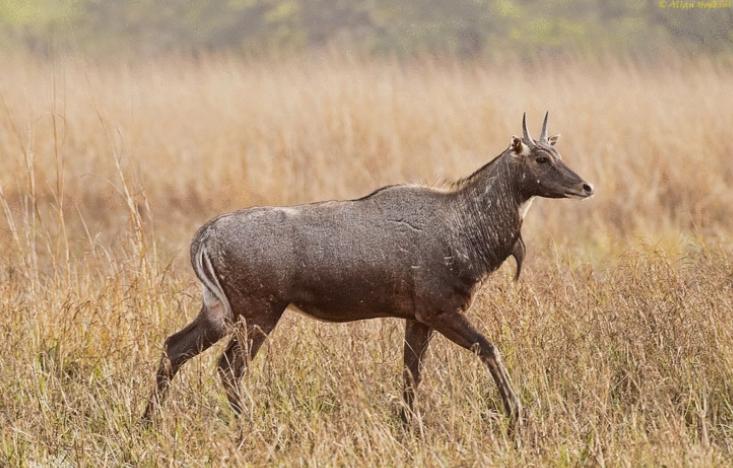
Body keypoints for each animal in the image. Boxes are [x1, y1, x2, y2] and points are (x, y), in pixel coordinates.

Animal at [140, 113, 592, 428]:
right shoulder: (441, 309)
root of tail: (203, 238)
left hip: (220, 311)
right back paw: (251, 427)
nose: (585, 186)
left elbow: (411, 374)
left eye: (558, 153)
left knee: (174, 348)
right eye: (541, 157)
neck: (467, 229)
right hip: (258, 313)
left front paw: (409, 426)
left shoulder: (418, 316)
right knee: (228, 369)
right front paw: (518, 415)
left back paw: (148, 423)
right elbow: (489, 348)